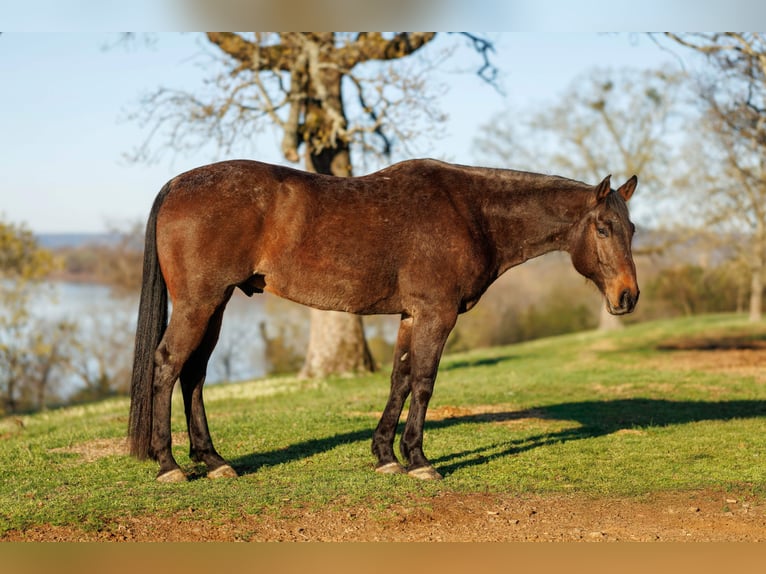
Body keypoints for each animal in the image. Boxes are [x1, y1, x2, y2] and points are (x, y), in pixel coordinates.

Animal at [128, 158, 639, 482]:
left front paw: (384, 455)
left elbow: (400, 379)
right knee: (167, 365)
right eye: (602, 228)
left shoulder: (411, 316)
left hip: (215, 305)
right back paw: (169, 464)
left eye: (631, 229)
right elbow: (425, 383)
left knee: (194, 374)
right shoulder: (436, 313)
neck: (471, 212)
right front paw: (418, 460)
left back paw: (213, 460)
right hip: (199, 303)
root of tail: (178, 184)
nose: (628, 296)